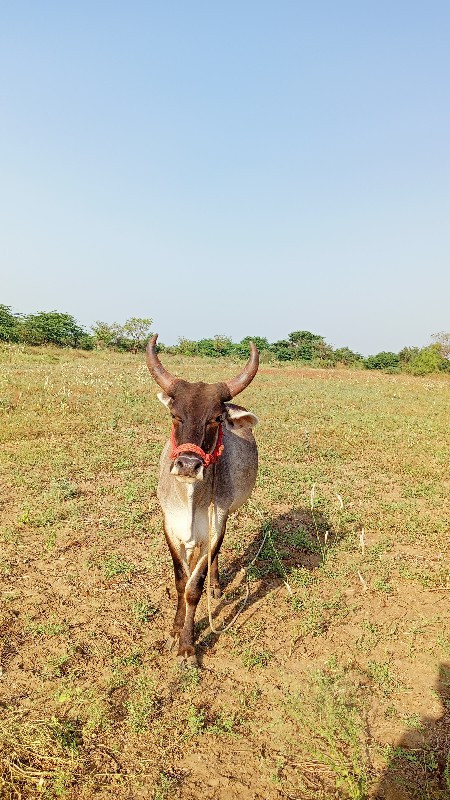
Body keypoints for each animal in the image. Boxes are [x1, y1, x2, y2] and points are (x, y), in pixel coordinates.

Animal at [146, 334, 258, 664]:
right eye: (174, 414)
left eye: (216, 418)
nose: (187, 465)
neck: (190, 500)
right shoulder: (170, 527)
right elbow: (181, 582)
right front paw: (174, 629)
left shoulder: (215, 525)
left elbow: (194, 587)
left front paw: (187, 646)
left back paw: (216, 587)